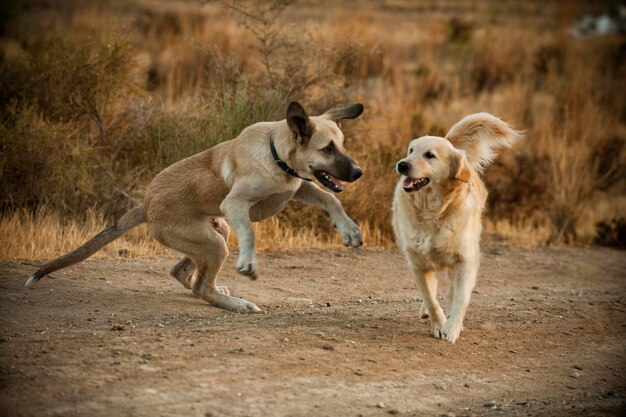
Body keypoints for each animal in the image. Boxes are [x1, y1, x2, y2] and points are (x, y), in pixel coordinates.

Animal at [26, 101, 364, 312]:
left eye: (342, 145)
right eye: (327, 149)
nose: (359, 172)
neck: (276, 155)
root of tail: (146, 205)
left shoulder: (298, 187)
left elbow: (330, 198)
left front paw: (349, 230)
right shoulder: (235, 203)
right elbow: (250, 234)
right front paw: (248, 263)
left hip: (216, 231)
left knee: (185, 273)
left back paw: (220, 291)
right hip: (215, 241)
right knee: (201, 286)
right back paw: (237, 304)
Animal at [392, 113, 520, 342]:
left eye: (430, 155)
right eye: (411, 150)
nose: (402, 165)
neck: (433, 211)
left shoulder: (465, 260)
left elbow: (461, 297)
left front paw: (451, 327)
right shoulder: (416, 262)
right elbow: (430, 298)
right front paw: (438, 323)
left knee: (452, 290)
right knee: (432, 289)